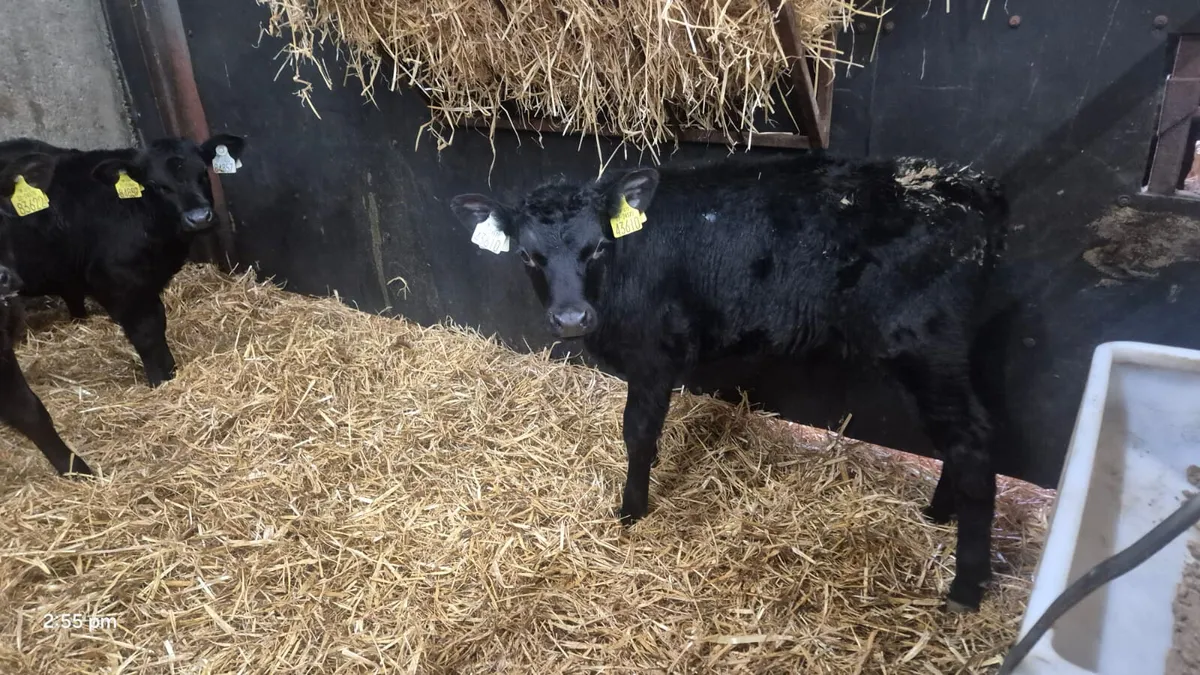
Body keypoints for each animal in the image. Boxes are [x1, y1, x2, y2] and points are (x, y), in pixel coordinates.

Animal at [0, 134, 246, 387]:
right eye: (156, 185)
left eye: (204, 173)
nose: (199, 218)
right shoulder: (118, 282)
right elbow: (146, 331)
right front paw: (161, 379)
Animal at [450, 153, 1009, 612]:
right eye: (528, 256)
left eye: (599, 248)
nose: (570, 319)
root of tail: (968, 185)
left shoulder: (654, 355)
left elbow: (637, 432)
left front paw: (632, 510)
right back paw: (939, 514)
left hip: (920, 343)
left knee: (973, 440)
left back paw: (965, 586)